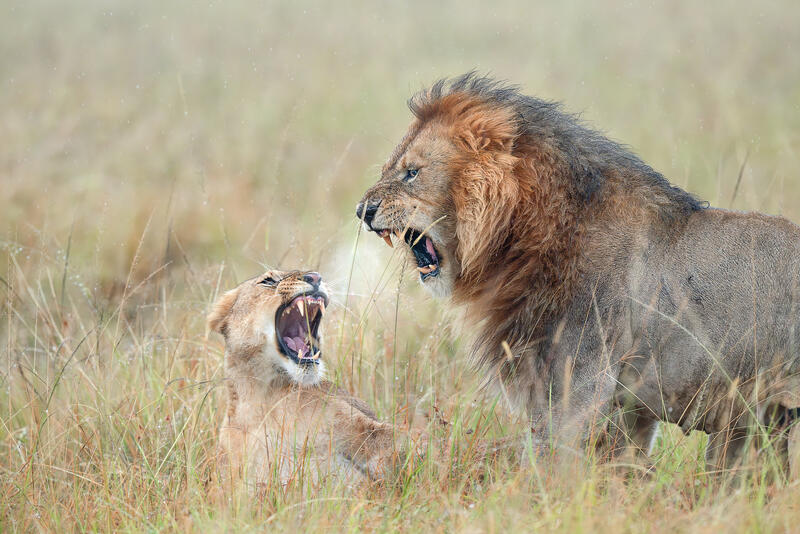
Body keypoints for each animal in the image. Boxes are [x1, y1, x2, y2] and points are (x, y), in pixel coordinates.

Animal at [356, 73, 800, 477]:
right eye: (392, 167)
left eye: (412, 172)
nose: (363, 210)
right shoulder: (631, 411)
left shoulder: (579, 389)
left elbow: (543, 466)